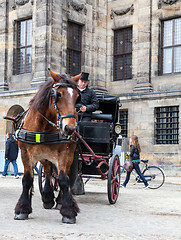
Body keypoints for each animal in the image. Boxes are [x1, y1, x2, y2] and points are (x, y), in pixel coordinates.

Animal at [14, 69, 81, 223]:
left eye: (76, 97)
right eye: (58, 94)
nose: (70, 128)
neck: (42, 127)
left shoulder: (63, 153)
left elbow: (63, 179)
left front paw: (68, 211)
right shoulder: (25, 153)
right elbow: (27, 179)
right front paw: (22, 209)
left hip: (69, 153)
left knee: (64, 174)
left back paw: (59, 201)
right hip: (44, 155)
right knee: (48, 171)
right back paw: (48, 197)